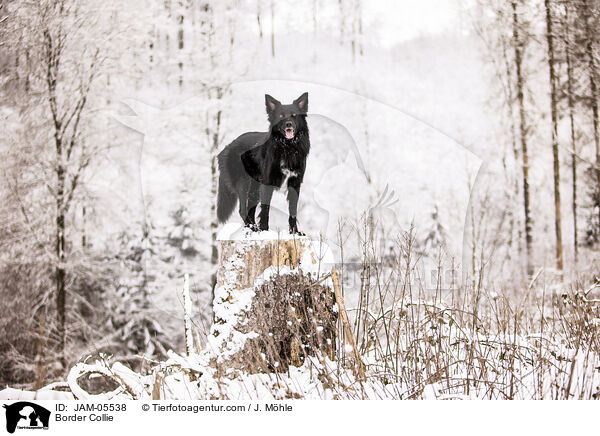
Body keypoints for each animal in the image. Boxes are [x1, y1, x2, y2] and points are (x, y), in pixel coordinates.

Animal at [217, 93, 310, 235]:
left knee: (249, 210)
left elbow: (293, 211)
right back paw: (253, 229)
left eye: (294, 115)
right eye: (281, 116)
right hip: (244, 184)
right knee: (242, 210)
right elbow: (265, 209)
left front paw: (294, 233)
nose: (288, 124)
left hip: (254, 188)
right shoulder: (267, 183)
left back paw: (253, 228)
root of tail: (227, 147)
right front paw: (265, 230)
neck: (287, 147)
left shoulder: (295, 183)